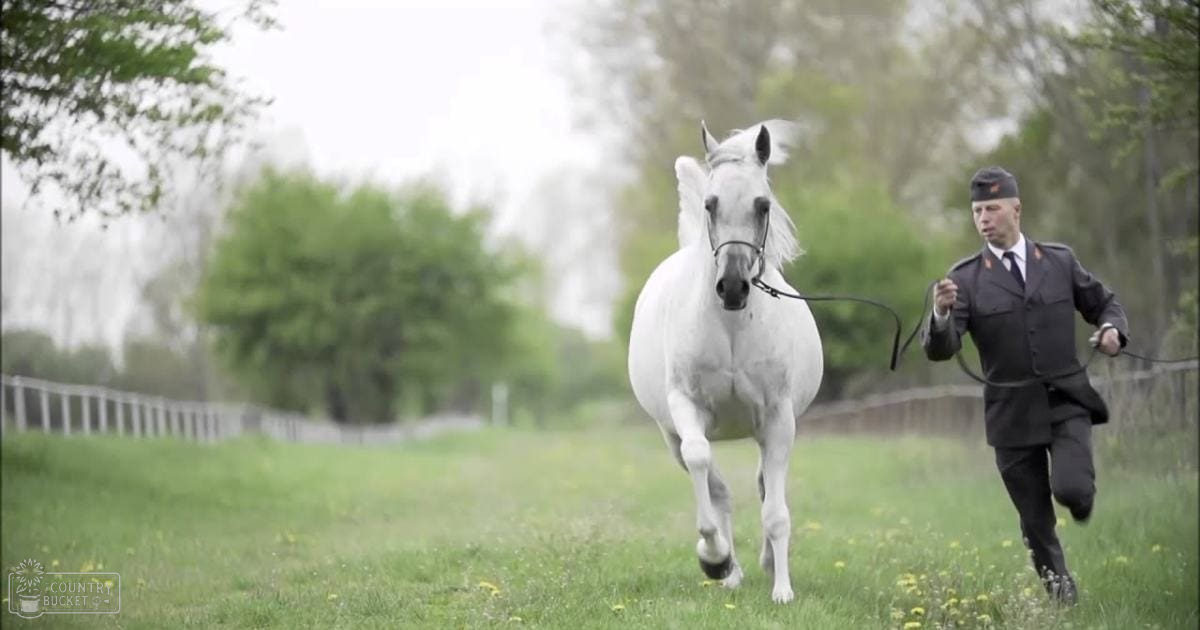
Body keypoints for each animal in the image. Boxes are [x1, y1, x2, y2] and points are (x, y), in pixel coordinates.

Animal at [627, 120, 823, 603]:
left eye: (763, 205)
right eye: (710, 204)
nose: (732, 287)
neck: (732, 327)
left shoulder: (778, 418)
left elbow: (775, 511)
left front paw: (782, 590)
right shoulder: (686, 410)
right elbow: (703, 469)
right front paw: (713, 559)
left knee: (762, 486)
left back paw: (765, 564)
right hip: (671, 435)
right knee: (719, 490)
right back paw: (729, 570)